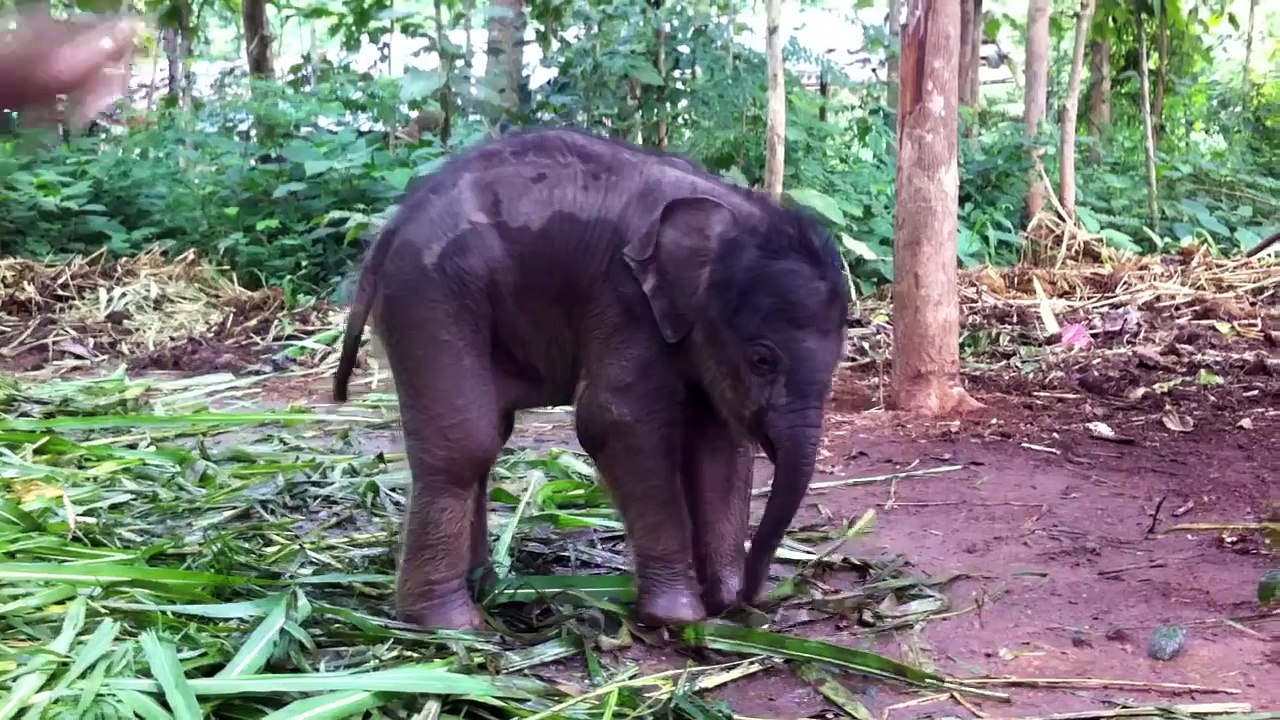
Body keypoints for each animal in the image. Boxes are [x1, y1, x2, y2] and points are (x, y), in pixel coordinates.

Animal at [333, 127, 850, 631]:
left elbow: (718, 447)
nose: (750, 601)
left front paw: (719, 604)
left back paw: (487, 591)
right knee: (466, 444)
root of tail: (389, 228)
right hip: (431, 295)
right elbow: (617, 422)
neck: (732, 210)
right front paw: (678, 617)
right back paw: (449, 625)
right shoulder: (624, 298)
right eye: (763, 360)